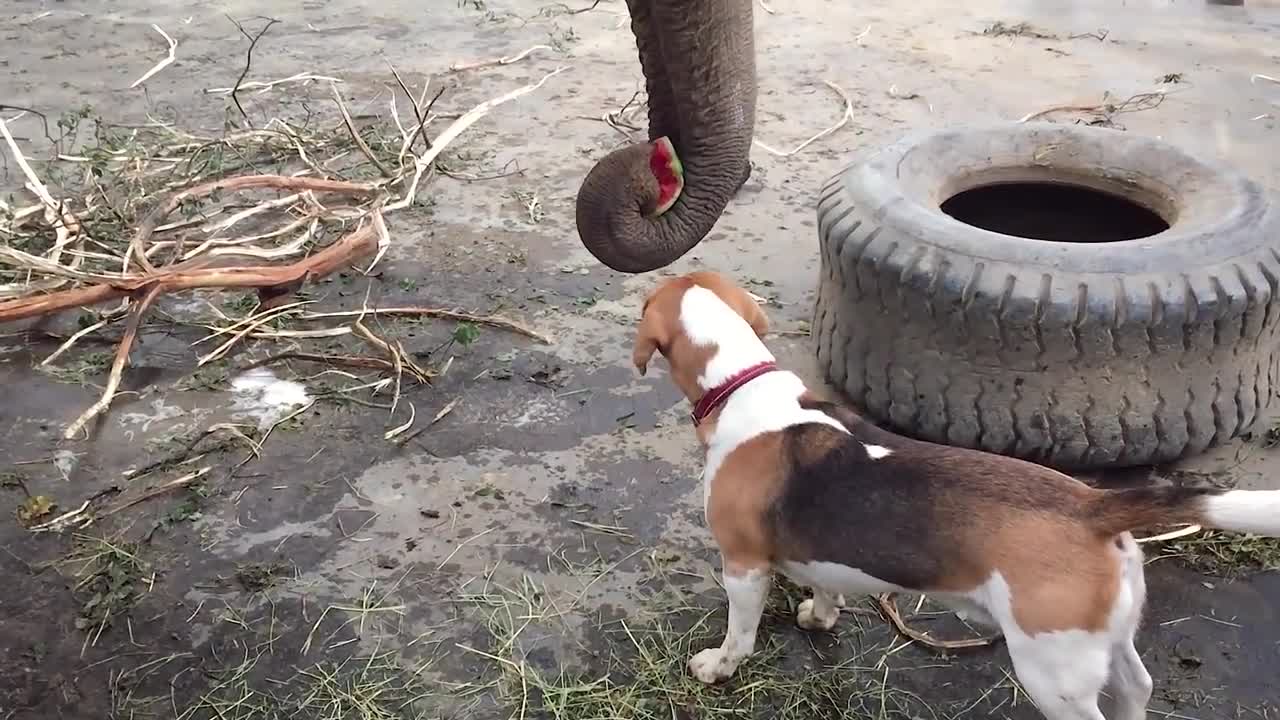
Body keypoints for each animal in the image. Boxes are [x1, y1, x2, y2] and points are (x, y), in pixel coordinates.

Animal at [629, 267, 1280, 717]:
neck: (742, 383)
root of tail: (1093, 506)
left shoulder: (742, 565)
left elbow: (739, 633)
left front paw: (718, 667)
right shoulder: (817, 553)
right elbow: (825, 584)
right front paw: (819, 615)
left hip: (1053, 670)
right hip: (1105, 643)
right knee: (1135, 687)